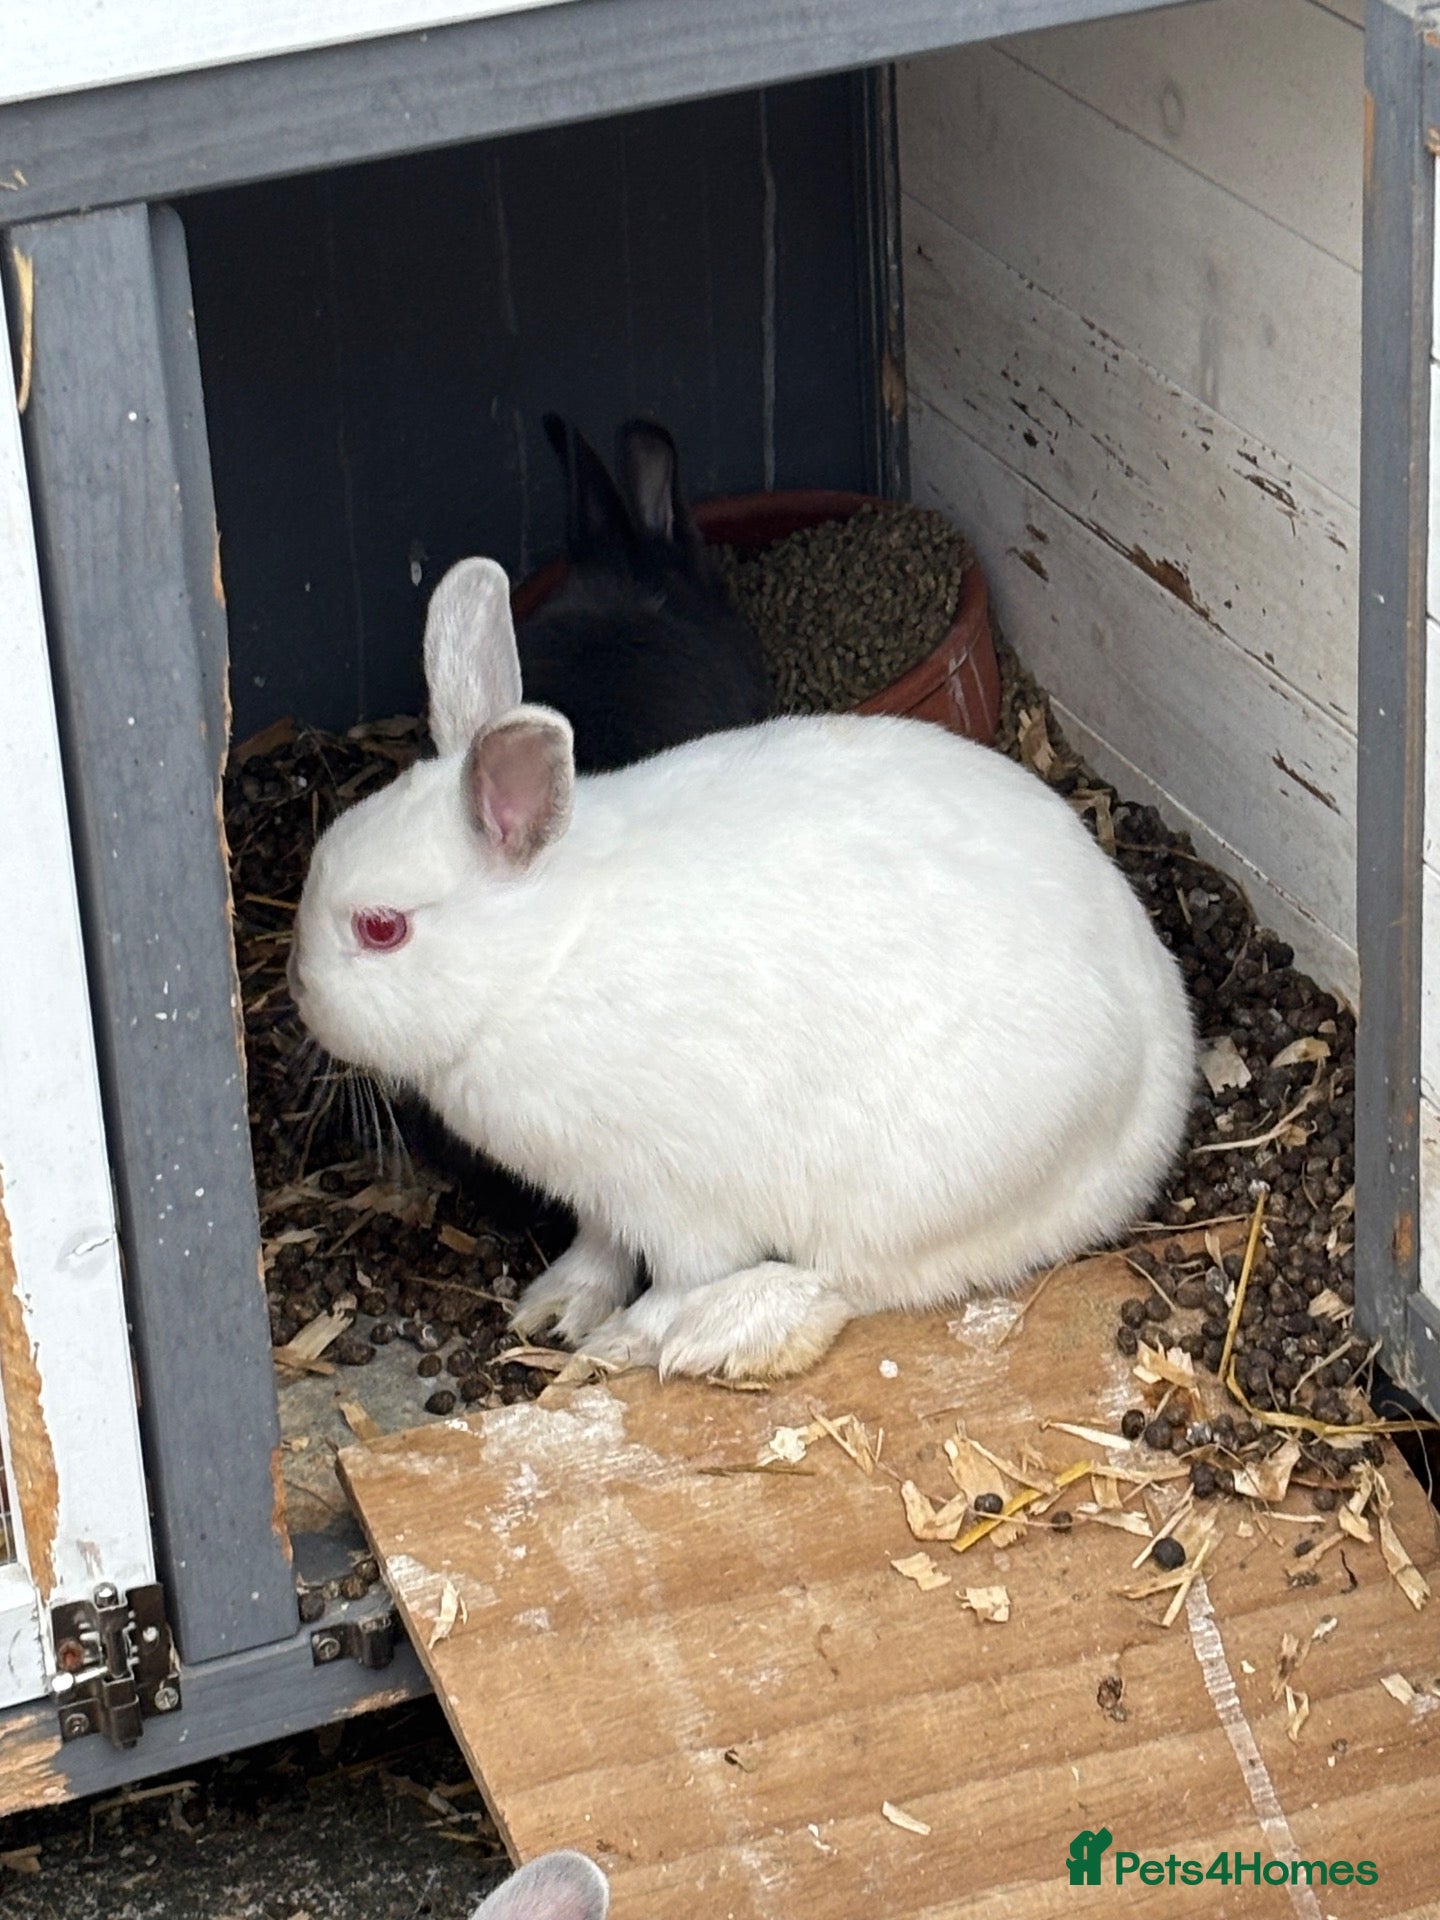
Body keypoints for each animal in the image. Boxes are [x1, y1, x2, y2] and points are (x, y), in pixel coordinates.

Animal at [288, 558, 1195, 1382]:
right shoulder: (604, 1197)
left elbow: (674, 1276)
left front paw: (622, 1339)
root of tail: (1159, 1100)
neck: (541, 964)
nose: (298, 989)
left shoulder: (678, 1200)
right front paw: (557, 1305)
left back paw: (721, 1334)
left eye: (382, 929)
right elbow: (600, 1248)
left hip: (913, 1186)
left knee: (847, 1279)